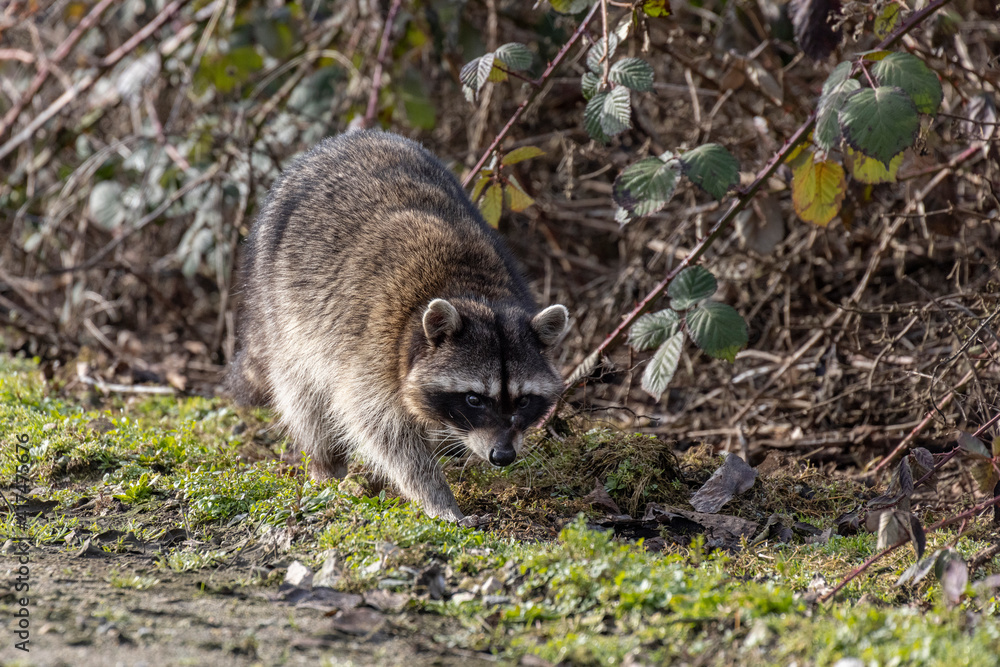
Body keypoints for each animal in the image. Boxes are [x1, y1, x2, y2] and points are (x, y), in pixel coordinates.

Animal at [227, 130, 569, 521]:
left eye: (524, 400)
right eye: (473, 399)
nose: (503, 456)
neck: (475, 294)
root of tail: (348, 139)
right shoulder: (373, 351)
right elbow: (384, 431)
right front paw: (437, 498)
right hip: (280, 307)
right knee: (303, 395)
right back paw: (326, 463)